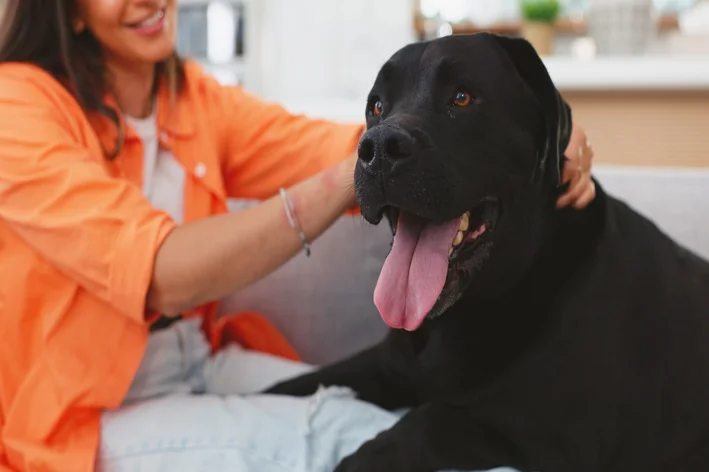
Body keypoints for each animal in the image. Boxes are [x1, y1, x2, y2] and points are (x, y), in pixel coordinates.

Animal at [264, 31, 708, 470]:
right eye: (377, 106)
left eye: (462, 98)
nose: (377, 148)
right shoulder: (386, 365)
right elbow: (291, 384)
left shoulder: (549, 438)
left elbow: (427, 420)